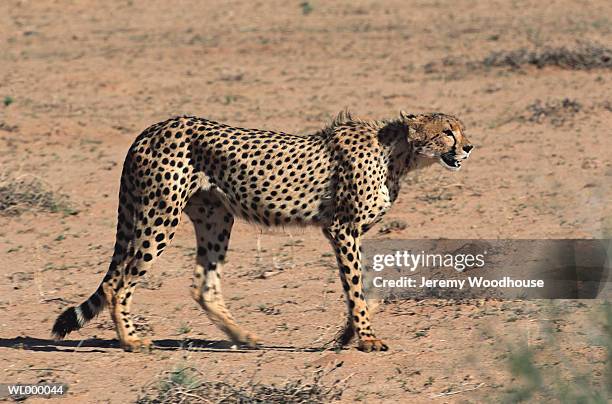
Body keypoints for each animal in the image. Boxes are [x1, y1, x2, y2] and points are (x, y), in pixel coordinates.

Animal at [52, 109, 474, 352]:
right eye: (447, 132)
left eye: (461, 130)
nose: (469, 147)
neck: (398, 154)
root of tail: (152, 128)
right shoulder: (341, 229)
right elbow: (355, 285)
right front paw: (366, 338)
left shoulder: (350, 232)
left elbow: (367, 285)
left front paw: (348, 334)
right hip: (159, 215)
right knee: (118, 283)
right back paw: (131, 341)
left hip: (215, 218)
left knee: (202, 286)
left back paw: (245, 338)